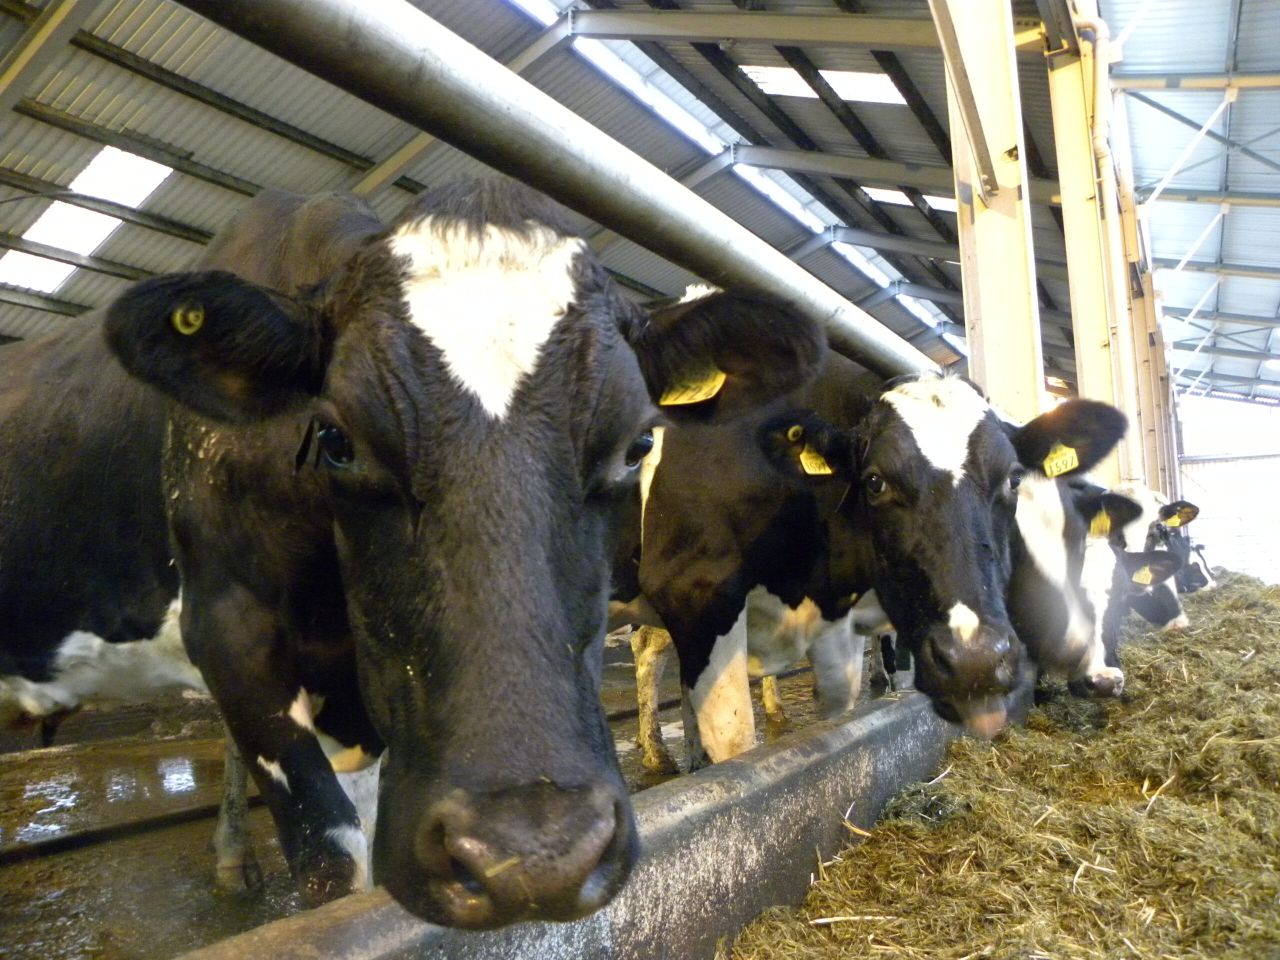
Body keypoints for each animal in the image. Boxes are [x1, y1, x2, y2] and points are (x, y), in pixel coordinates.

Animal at [611, 347, 1130, 770]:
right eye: (875, 481)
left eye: (1013, 478)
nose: (975, 662)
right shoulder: (695, 592)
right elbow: (736, 738)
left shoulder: (832, 627)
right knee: (648, 655)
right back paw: (657, 754)